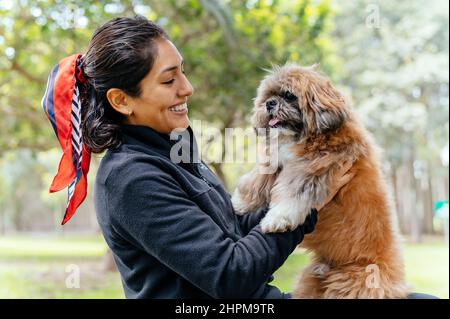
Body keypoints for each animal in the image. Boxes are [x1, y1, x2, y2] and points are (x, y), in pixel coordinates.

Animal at [234, 63, 410, 298]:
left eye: (289, 95)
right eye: (269, 96)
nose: (270, 103)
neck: (305, 137)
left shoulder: (312, 170)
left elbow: (292, 196)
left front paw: (276, 218)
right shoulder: (278, 164)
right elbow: (257, 182)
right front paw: (240, 203)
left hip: (354, 283)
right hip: (311, 281)